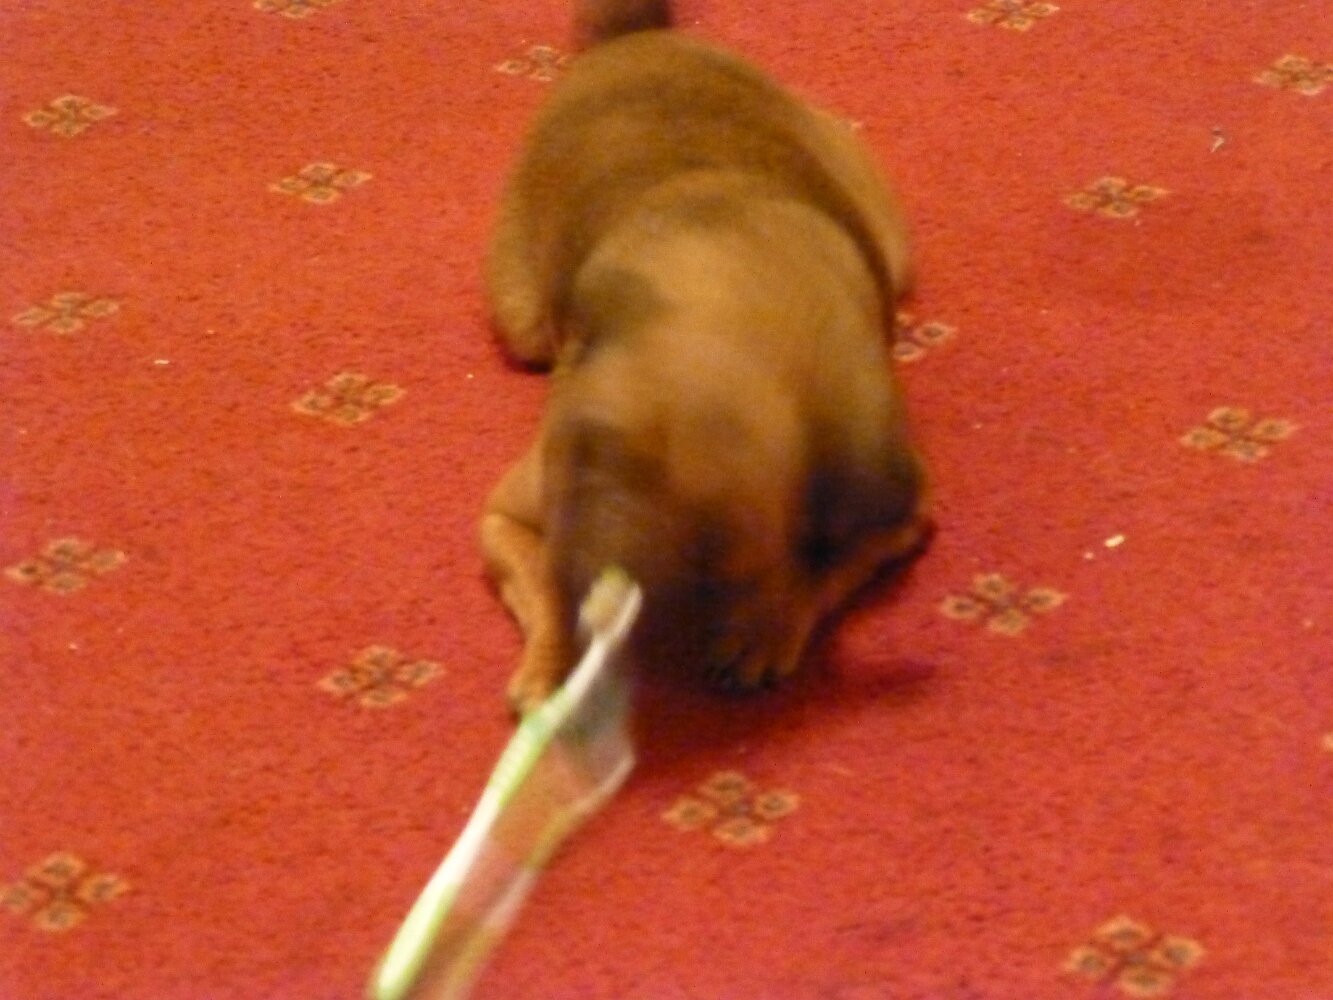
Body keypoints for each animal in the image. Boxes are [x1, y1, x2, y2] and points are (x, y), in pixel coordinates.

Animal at [480, 0, 931, 715]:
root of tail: (634, 39)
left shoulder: (899, 517)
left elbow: (824, 571)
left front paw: (768, 624)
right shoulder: (511, 514)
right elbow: (544, 585)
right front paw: (554, 664)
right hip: (520, 320)